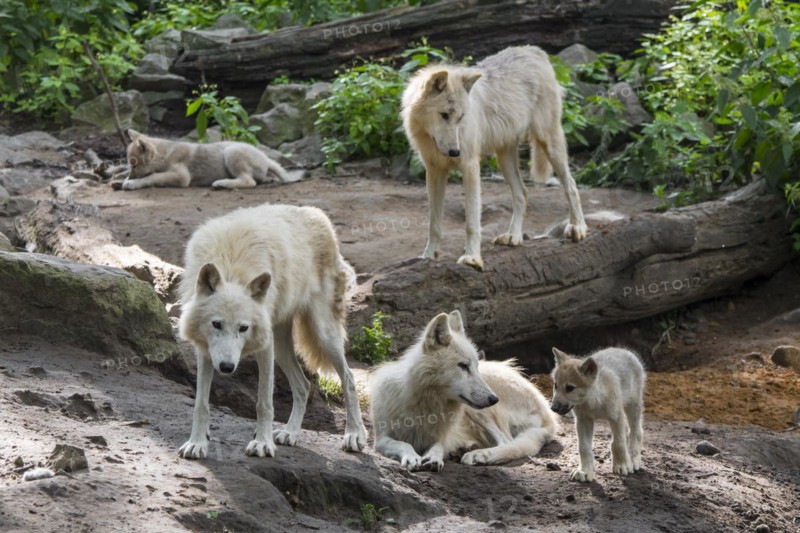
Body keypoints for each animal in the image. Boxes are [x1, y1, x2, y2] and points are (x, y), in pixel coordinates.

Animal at [118, 129, 291, 190]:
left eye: (134, 164)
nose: (131, 177)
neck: (164, 155)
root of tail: (266, 159)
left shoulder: (182, 177)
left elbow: (153, 176)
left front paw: (132, 183)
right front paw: (123, 181)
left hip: (232, 152)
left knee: (249, 181)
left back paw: (222, 183)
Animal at [177, 203, 366, 459]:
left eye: (243, 328)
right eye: (216, 324)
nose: (226, 367)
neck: (232, 267)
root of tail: (318, 215)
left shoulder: (264, 347)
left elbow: (264, 402)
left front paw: (262, 443)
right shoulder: (206, 349)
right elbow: (201, 403)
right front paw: (197, 443)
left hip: (323, 335)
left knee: (348, 378)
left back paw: (354, 435)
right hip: (281, 346)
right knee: (304, 386)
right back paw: (290, 433)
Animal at [370, 310, 558, 471]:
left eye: (476, 366)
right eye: (463, 366)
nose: (494, 399)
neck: (426, 402)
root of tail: (548, 412)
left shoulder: (443, 437)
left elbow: (438, 446)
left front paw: (434, 458)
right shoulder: (381, 438)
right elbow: (404, 444)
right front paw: (411, 457)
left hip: (478, 412)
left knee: (506, 442)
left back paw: (478, 455)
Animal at [401, 46, 588, 271]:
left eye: (460, 117)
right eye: (444, 115)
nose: (455, 152)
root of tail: (534, 51)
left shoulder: (469, 166)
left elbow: (472, 222)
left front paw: (472, 258)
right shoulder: (435, 171)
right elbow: (434, 223)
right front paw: (428, 257)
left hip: (548, 142)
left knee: (571, 184)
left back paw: (577, 228)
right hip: (504, 158)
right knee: (522, 193)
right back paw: (513, 236)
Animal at [550, 347, 645, 482]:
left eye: (570, 388)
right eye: (555, 385)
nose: (553, 408)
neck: (593, 402)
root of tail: (623, 350)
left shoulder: (616, 417)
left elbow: (618, 443)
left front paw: (622, 465)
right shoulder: (583, 420)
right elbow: (583, 447)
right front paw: (584, 471)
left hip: (633, 407)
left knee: (636, 432)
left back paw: (633, 459)